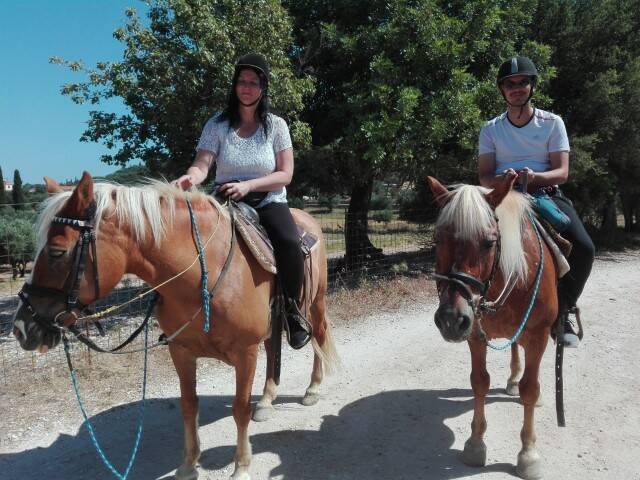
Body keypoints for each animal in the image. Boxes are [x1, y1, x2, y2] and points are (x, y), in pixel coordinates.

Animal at [11, 171, 339, 480]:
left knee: (319, 337)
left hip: (315, 303)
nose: (21, 328)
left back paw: (312, 388)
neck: (203, 275)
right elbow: (189, 406)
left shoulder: (245, 353)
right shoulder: (181, 351)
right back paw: (267, 401)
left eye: (56, 251)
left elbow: (239, 408)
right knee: (273, 349)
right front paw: (188, 465)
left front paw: (242, 466)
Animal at [427, 173, 559, 480]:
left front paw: (528, 454)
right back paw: (512, 380)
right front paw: (475, 445)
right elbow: (479, 382)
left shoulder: (538, 336)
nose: (451, 319)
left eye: (489, 242)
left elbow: (530, 389)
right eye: (438, 239)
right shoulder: (475, 335)